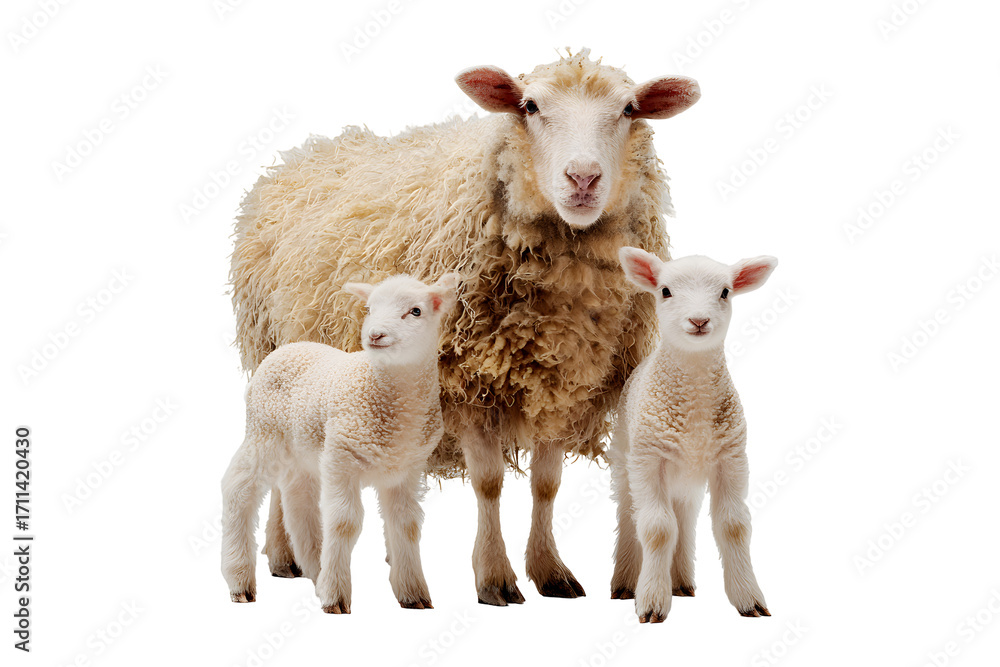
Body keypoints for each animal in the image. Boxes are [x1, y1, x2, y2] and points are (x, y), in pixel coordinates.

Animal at [221, 273, 459, 614]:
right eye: (369, 309)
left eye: (415, 311)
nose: (375, 335)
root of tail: (287, 348)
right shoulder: (340, 458)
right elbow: (344, 523)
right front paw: (335, 595)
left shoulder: (405, 470)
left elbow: (407, 525)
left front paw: (414, 593)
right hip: (264, 432)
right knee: (238, 487)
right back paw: (240, 579)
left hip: (303, 452)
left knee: (298, 501)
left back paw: (315, 570)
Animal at [609, 247, 777, 623]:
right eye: (665, 291)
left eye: (726, 292)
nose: (699, 321)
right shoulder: (648, 459)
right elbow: (657, 528)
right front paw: (652, 602)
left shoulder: (731, 458)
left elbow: (734, 526)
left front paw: (749, 599)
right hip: (626, 460)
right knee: (630, 515)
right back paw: (625, 583)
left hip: (686, 480)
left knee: (684, 516)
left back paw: (682, 582)